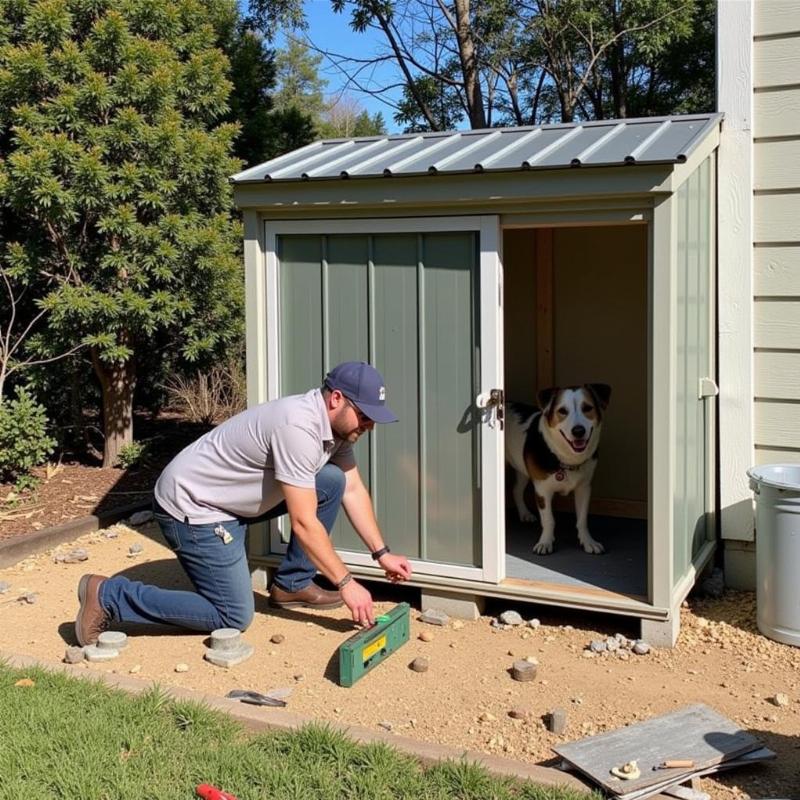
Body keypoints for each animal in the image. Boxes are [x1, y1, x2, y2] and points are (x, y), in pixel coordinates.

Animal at [506, 384, 612, 552]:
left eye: (587, 408)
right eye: (562, 411)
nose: (578, 431)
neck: (566, 459)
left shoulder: (584, 488)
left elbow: (582, 519)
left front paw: (588, 541)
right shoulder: (542, 490)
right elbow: (549, 520)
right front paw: (545, 542)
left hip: (521, 465)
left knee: (516, 489)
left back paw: (524, 513)